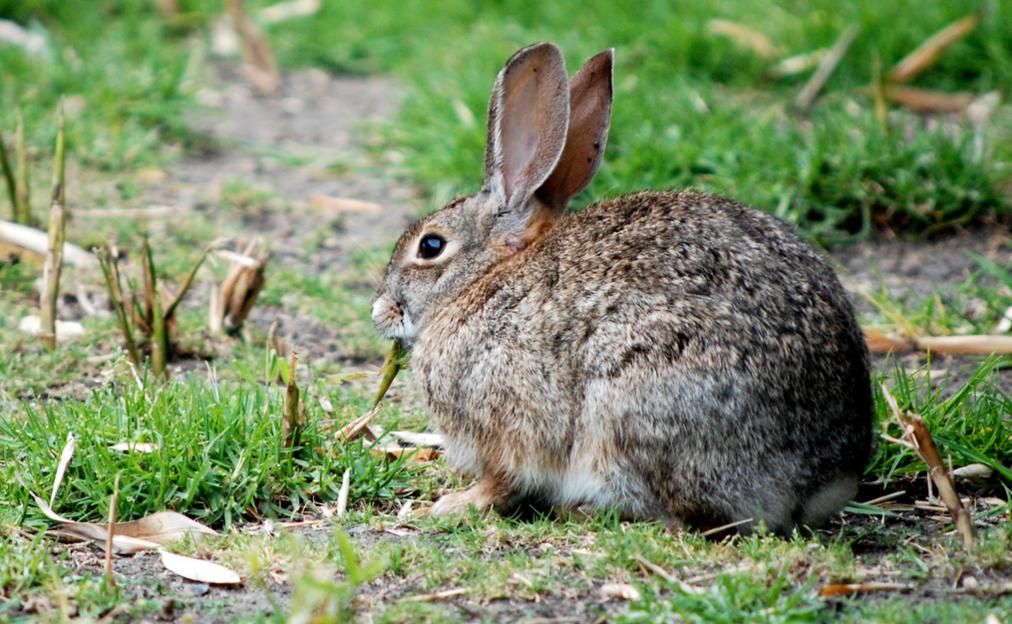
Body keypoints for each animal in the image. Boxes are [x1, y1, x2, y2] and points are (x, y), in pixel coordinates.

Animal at [372, 41, 870, 533]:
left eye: (430, 246)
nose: (378, 311)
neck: (485, 278)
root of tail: (823, 478)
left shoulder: (507, 421)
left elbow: (503, 482)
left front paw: (453, 505)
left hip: (630, 406)